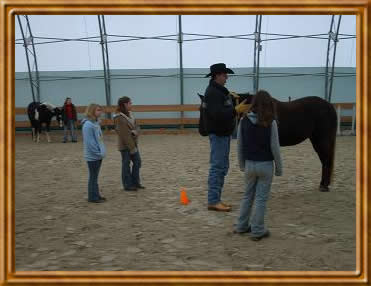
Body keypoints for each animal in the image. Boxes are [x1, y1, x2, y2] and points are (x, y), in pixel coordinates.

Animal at [199, 92, 338, 192]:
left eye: (205, 109)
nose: (202, 131)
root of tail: (329, 106)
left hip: (322, 140)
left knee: (326, 161)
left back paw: (324, 186)